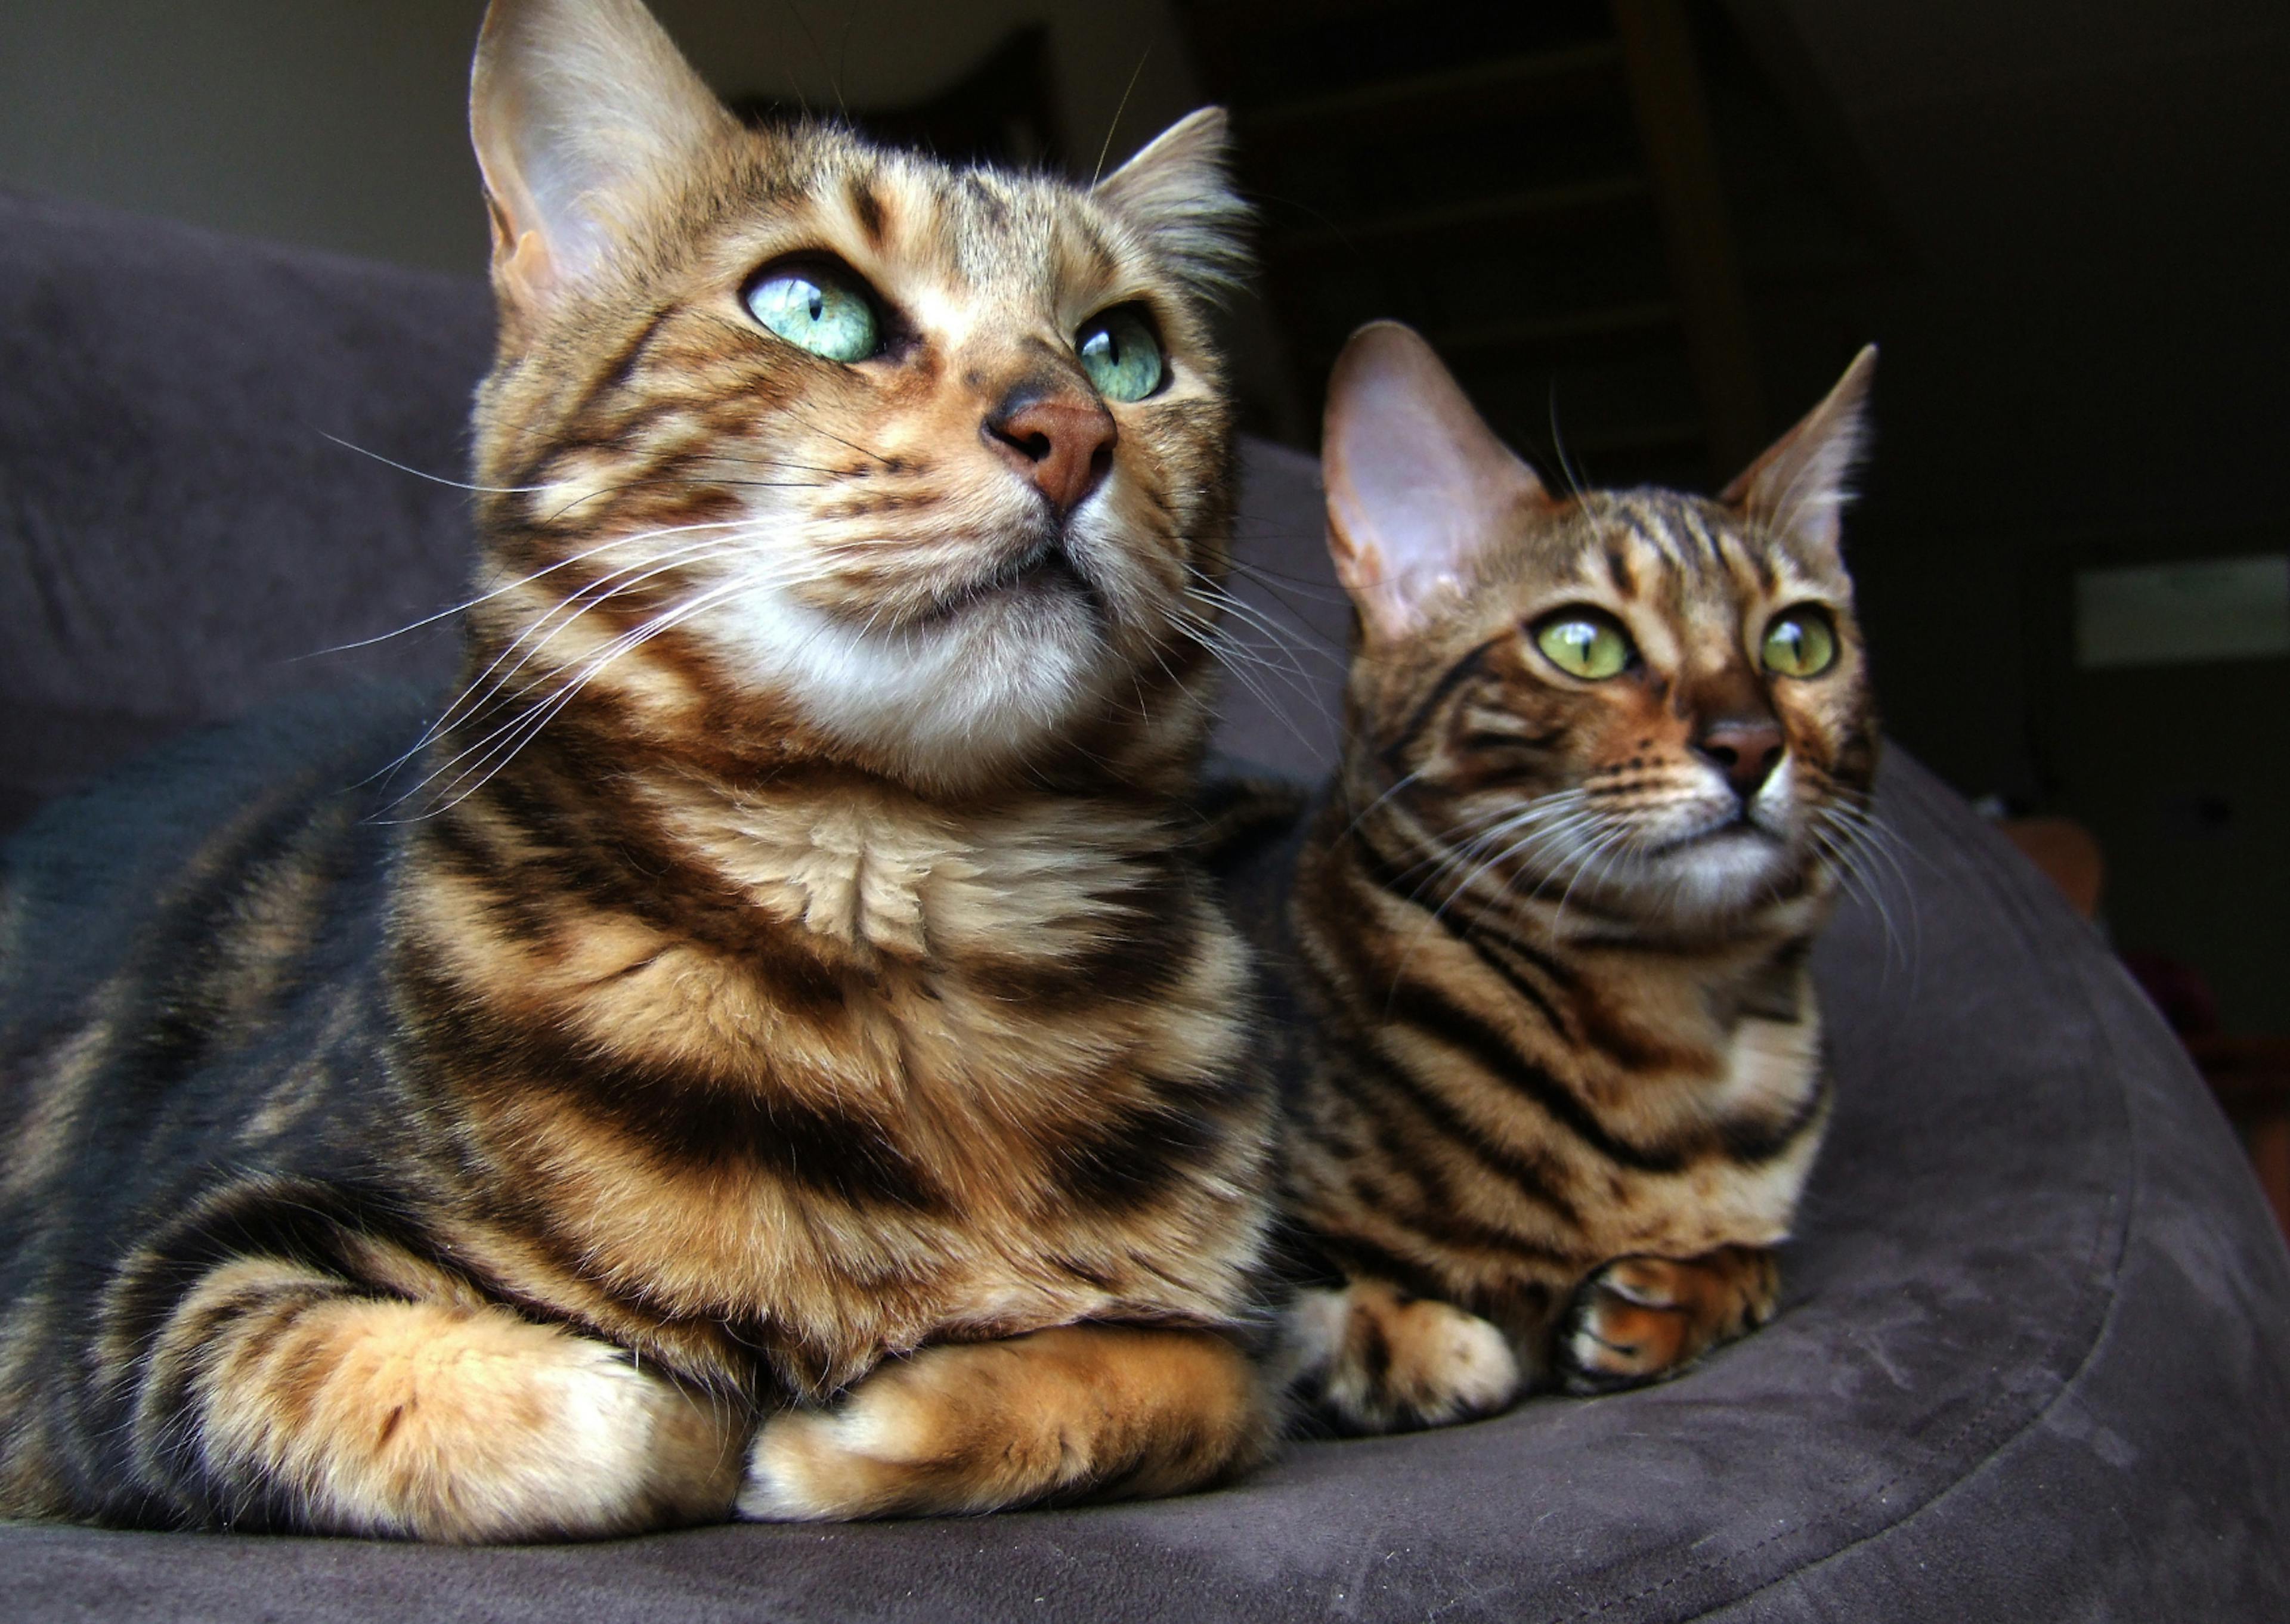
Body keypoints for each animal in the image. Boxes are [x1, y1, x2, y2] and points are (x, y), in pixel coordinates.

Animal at [0, 0, 1291, 1530]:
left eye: (1123, 350)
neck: (927, 914)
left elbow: (1182, 1378)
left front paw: (871, 1424)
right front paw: (760, 1414)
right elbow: (624, 1413)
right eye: (811, 306)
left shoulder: (1237, 1347)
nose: (1072, 429)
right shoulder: (149, 1305)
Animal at [1273, 320, 1877, 1429]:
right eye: (1582, 643)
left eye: (1800, 641)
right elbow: (1310, 1312)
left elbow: (1759, 1257)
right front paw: (1435, 1348)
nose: (1749, 741)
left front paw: (1671, 1299)